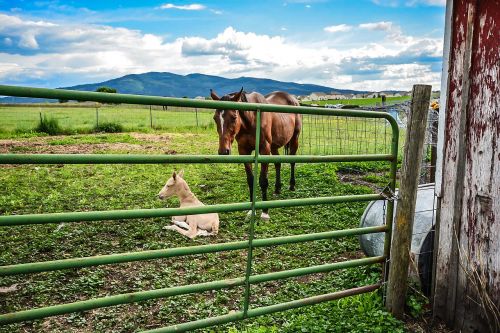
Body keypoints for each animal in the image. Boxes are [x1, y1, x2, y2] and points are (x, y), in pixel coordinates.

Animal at [210, 87, 300, 219]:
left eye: (234, 117)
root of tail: (293, 99)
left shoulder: (264, 149)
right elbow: (250, 180)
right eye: (215, 118)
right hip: (274, 146)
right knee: (278, 163)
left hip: (294, 139)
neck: (252, 119)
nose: (223, 151)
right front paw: (250, 211)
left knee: (292, 161)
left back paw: (292, 185)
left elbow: (263, 180)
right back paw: (277, 188)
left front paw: (265, 211)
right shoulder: (244, 151)